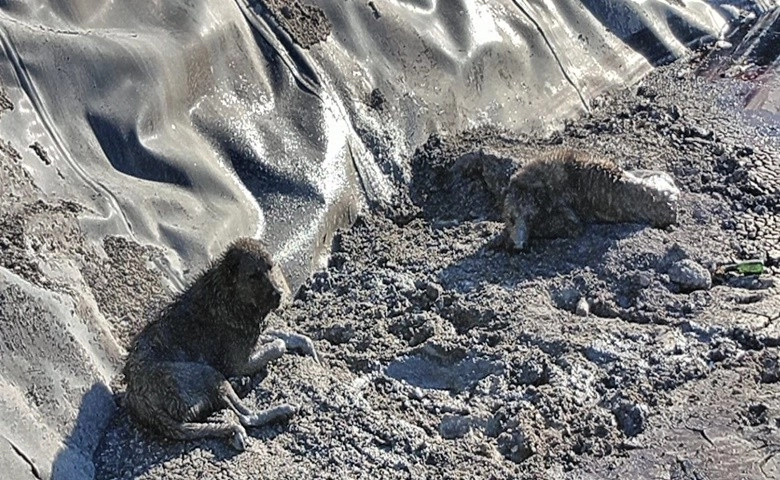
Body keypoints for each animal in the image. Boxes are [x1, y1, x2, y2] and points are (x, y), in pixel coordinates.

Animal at [122, 238, 316, 452]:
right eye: (253, 275)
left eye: (271, 267)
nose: (279, 294)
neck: (229, 294)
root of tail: (138, 399)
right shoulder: (241, 362)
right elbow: (279, 344)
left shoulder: (250, 337)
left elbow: (281, 335)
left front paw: (305, 344)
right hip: (206, 374)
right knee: (247, 417)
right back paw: (281, 409)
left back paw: (241, 385)